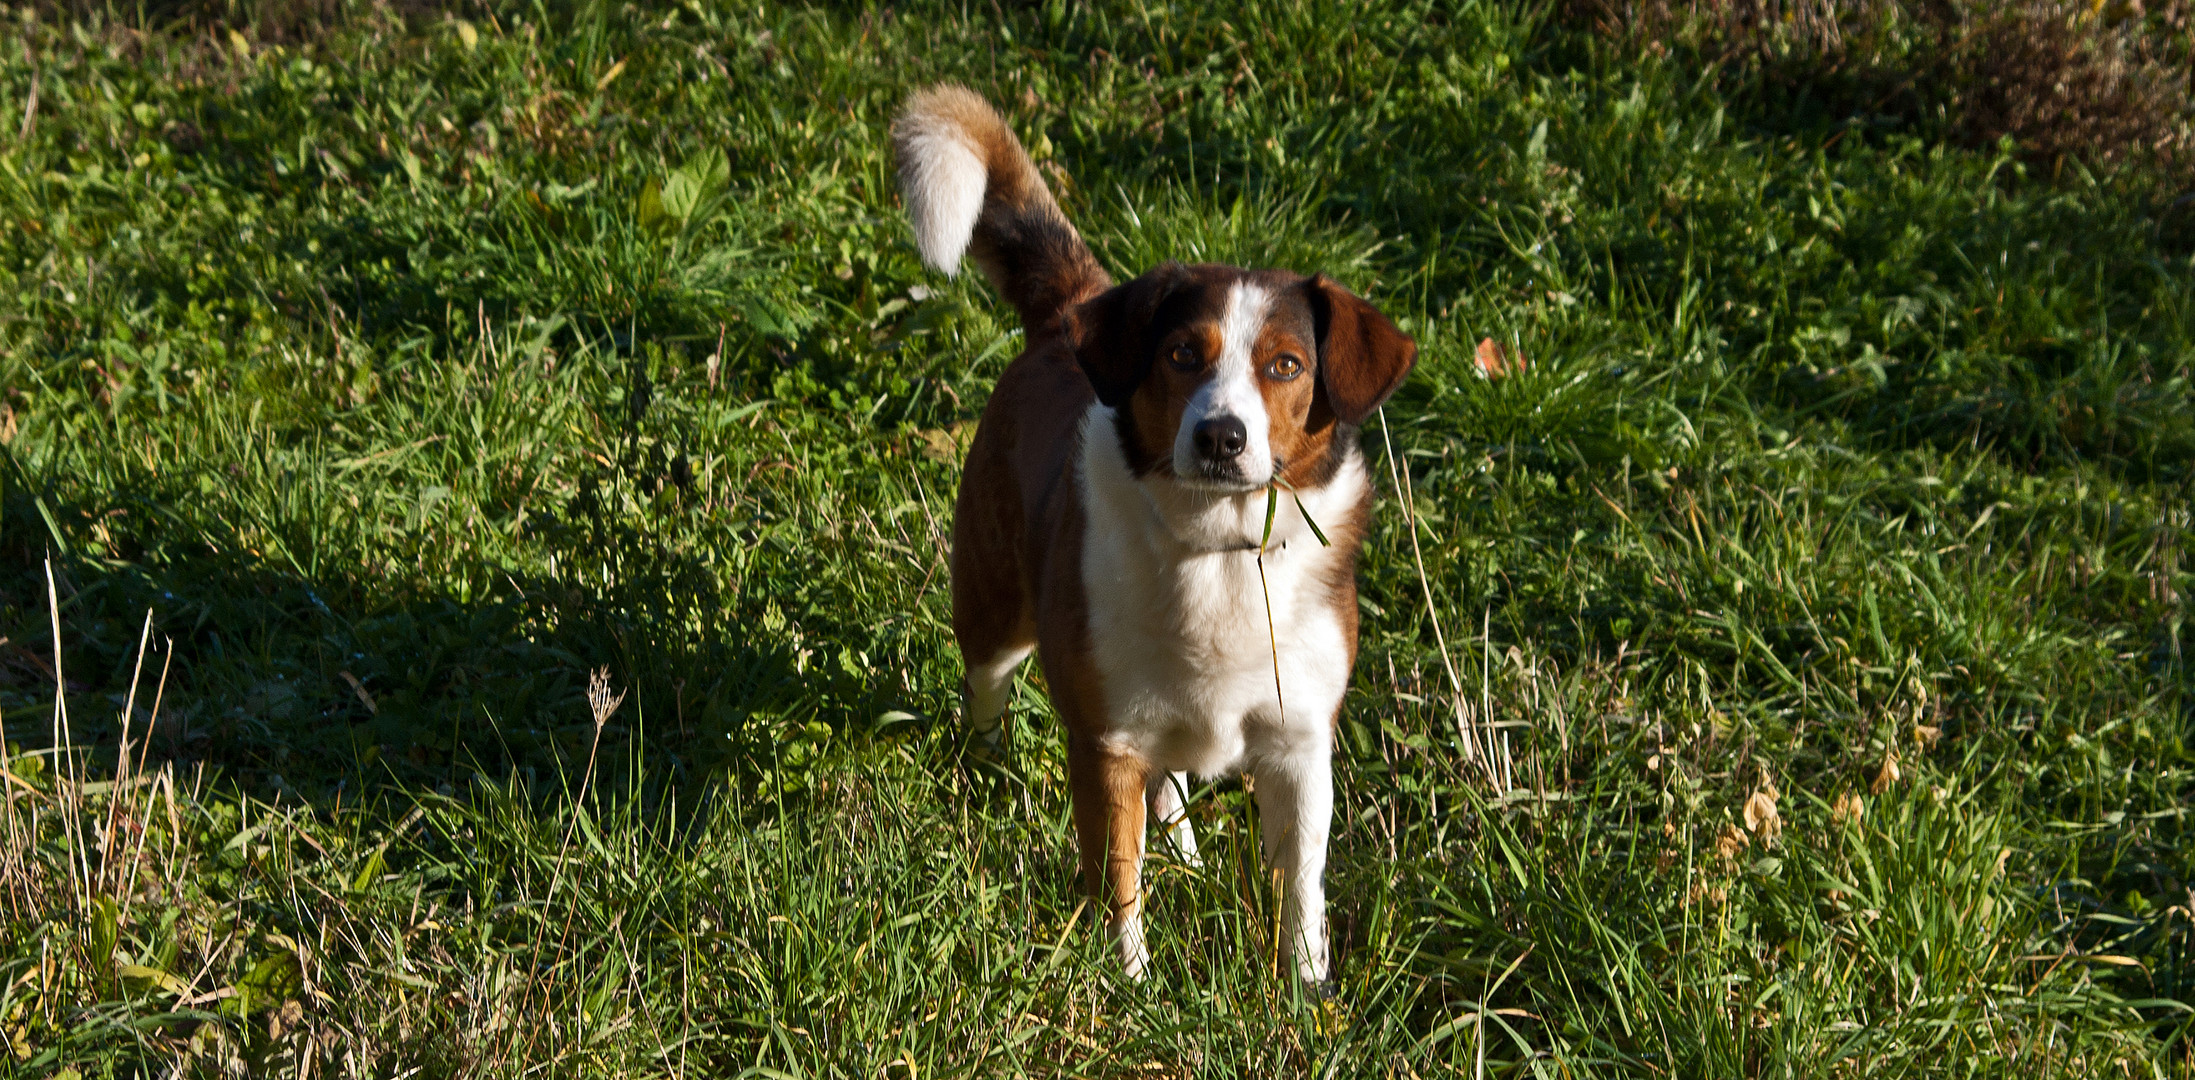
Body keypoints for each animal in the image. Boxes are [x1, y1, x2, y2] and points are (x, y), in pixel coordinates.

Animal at [895, 82, 1422, 979]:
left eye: (1285, 365)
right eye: (1181, 354)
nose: (1220, 437)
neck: (1219, 551)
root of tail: (1068, 316)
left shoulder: (1298, 746)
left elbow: (1301, 888)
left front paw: (1304, 988)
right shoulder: (1105, 743)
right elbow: (1117, 878)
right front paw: (1128, 982)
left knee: (1171, 786)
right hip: (993, 608)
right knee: (988, 691)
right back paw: (991, 768)